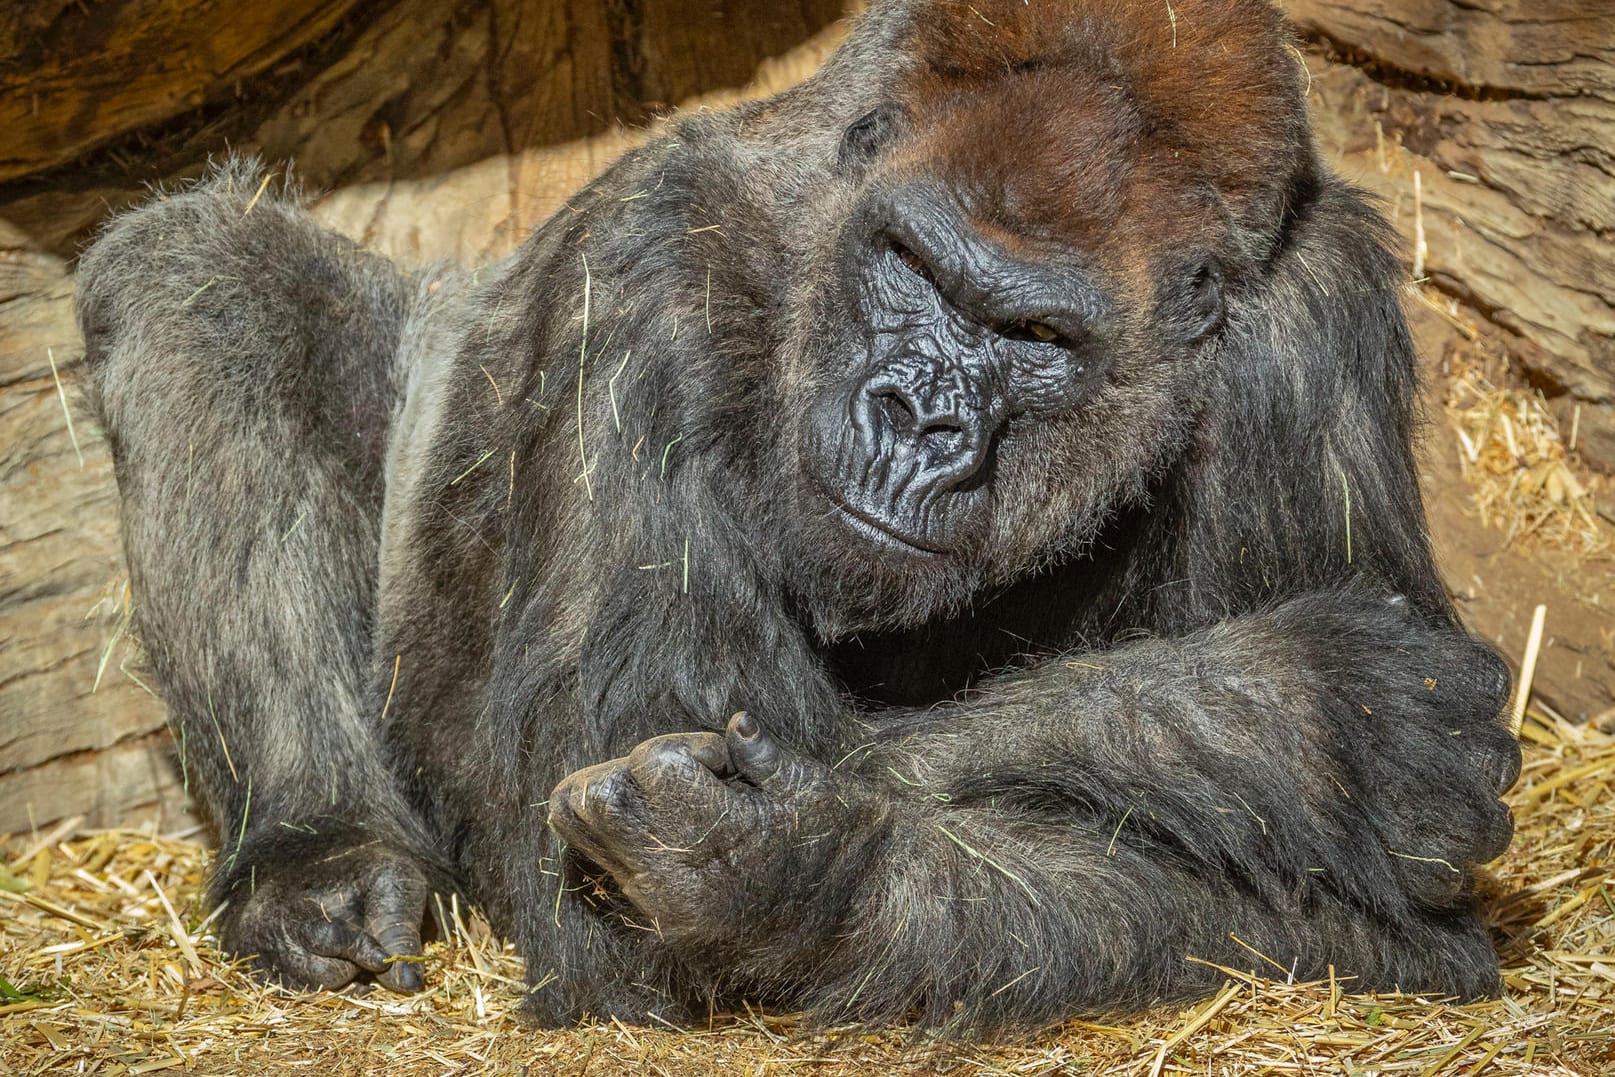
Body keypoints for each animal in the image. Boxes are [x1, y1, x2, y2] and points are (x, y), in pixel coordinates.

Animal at [78, 0, 1511, 1033]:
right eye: (911, 268)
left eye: (1035, 337)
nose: (916, 417)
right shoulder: (645, 270)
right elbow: (600, 885)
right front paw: (1298, 718)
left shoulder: (1311, 329)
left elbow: (1376, 935)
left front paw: (788, 873)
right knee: (205, 274)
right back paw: (316, 857)